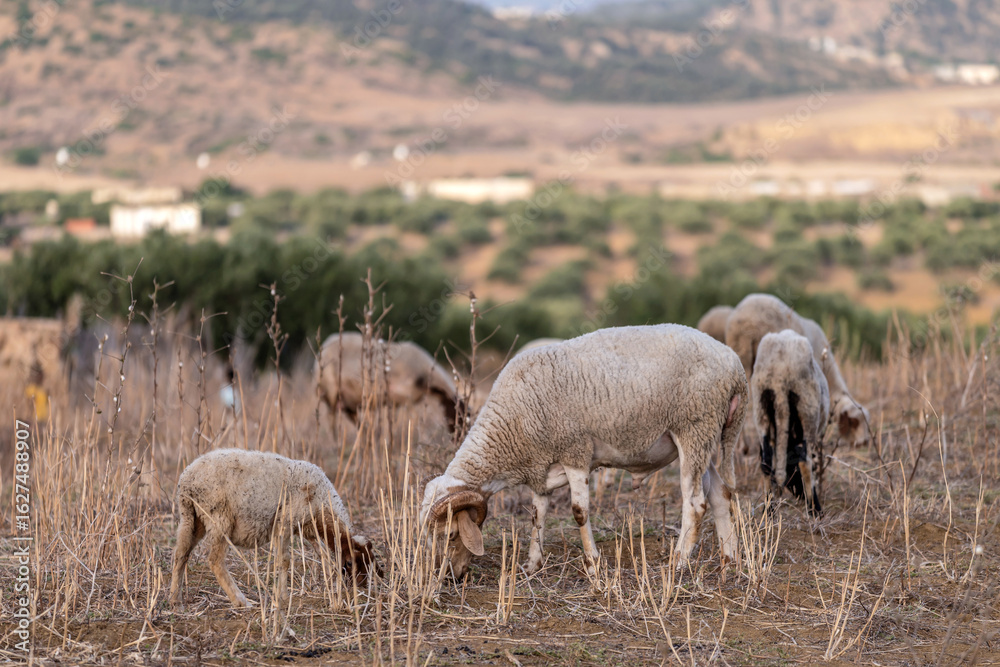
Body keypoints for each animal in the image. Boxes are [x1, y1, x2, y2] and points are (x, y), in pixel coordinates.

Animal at [169, 449, 376, 609]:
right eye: (350, 563)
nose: (362, 586)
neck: (322, 505)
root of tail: (187, 480)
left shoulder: (308, 529)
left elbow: (324, 557)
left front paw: (332, 585)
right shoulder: (284, 522)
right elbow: (284, 560)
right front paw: (283, 596)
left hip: (191, 518)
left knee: (181, 554)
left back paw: (175, 600)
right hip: (219, 518)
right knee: (215, 561)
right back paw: (241, 601)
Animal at [316, 332, 468, 434]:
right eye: (460, 419)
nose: (459, 438)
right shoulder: (403, 395)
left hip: (347, 401)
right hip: (331, 391)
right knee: (331, 420)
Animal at [420, 324, 748, 579]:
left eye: (450, 535)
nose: (448, 576)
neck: (510, 429)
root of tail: (734, 366)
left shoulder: (575, 451)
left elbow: (579, 513)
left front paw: (593, 566)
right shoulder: (541, 466)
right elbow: (537, 515)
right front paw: (532, 565)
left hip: (694, 427)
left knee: (695, 504)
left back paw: (678, 564)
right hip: (706, 439)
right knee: (720, 494)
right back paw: (730, 561)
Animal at [751, 330, 829, 516]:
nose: (799, 495)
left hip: (760, 407)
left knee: (765, 462)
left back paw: (768, 511)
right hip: (807, 407)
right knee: (805, 460)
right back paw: (815, 510)